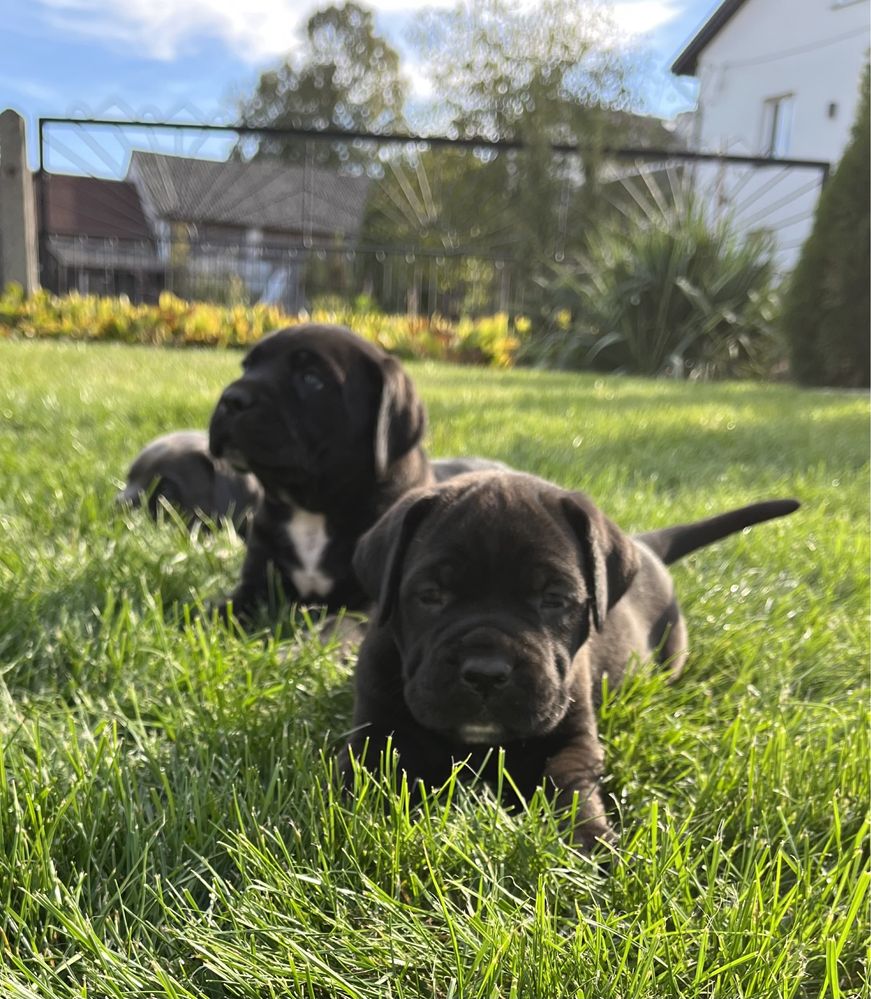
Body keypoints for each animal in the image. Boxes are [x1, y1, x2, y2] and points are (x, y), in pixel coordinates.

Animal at [338, 470, 800, 852]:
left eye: (554, 599)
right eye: (431, 595)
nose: (487, 673)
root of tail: (645, 546)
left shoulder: (573, 741)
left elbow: (571, 790)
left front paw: (591, 843)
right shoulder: (375, 732)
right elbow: (362, 779)